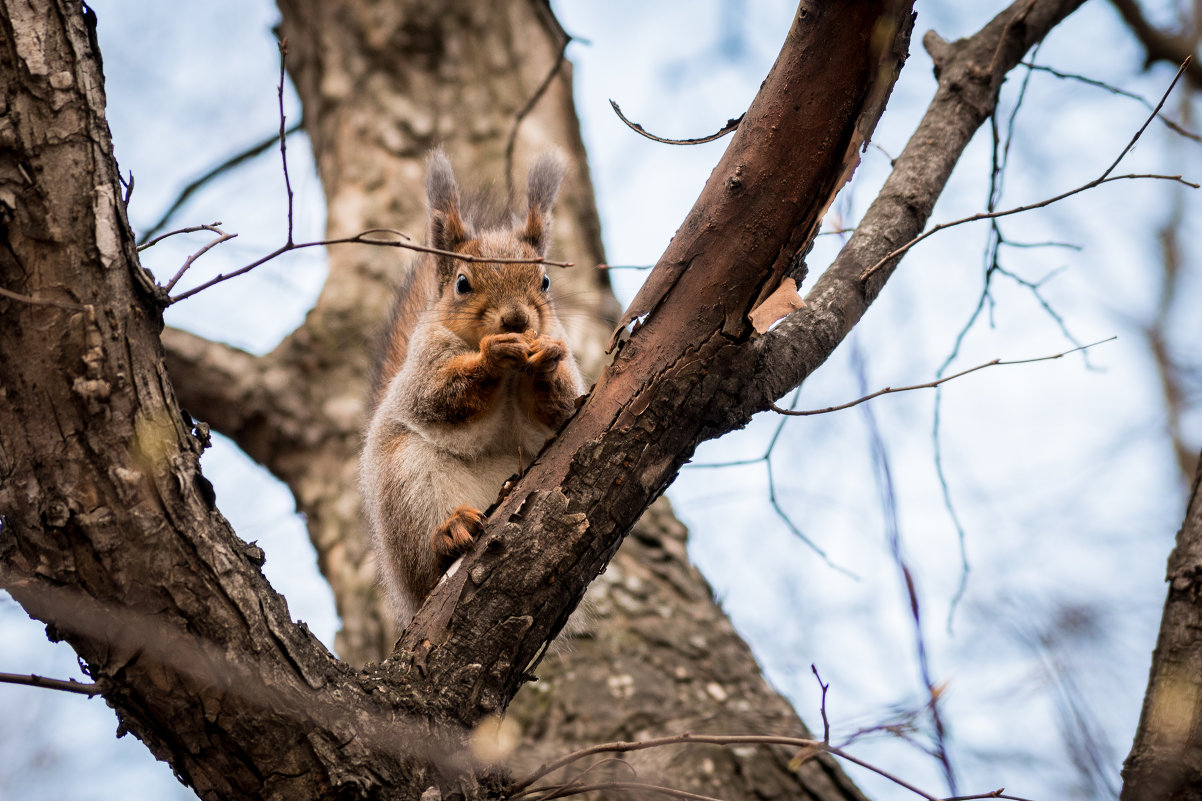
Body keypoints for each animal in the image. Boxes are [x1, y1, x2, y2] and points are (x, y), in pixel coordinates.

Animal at [355, 147, 586, 625]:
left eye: (545, 281)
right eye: (463, 283)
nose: (516, 319)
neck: (514, 376)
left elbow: (559, 409)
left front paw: (547, 360)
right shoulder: (423, 368)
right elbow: (439, 398)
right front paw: (491, 355)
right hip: (408, 483)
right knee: (428, 560)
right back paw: (450, 533)